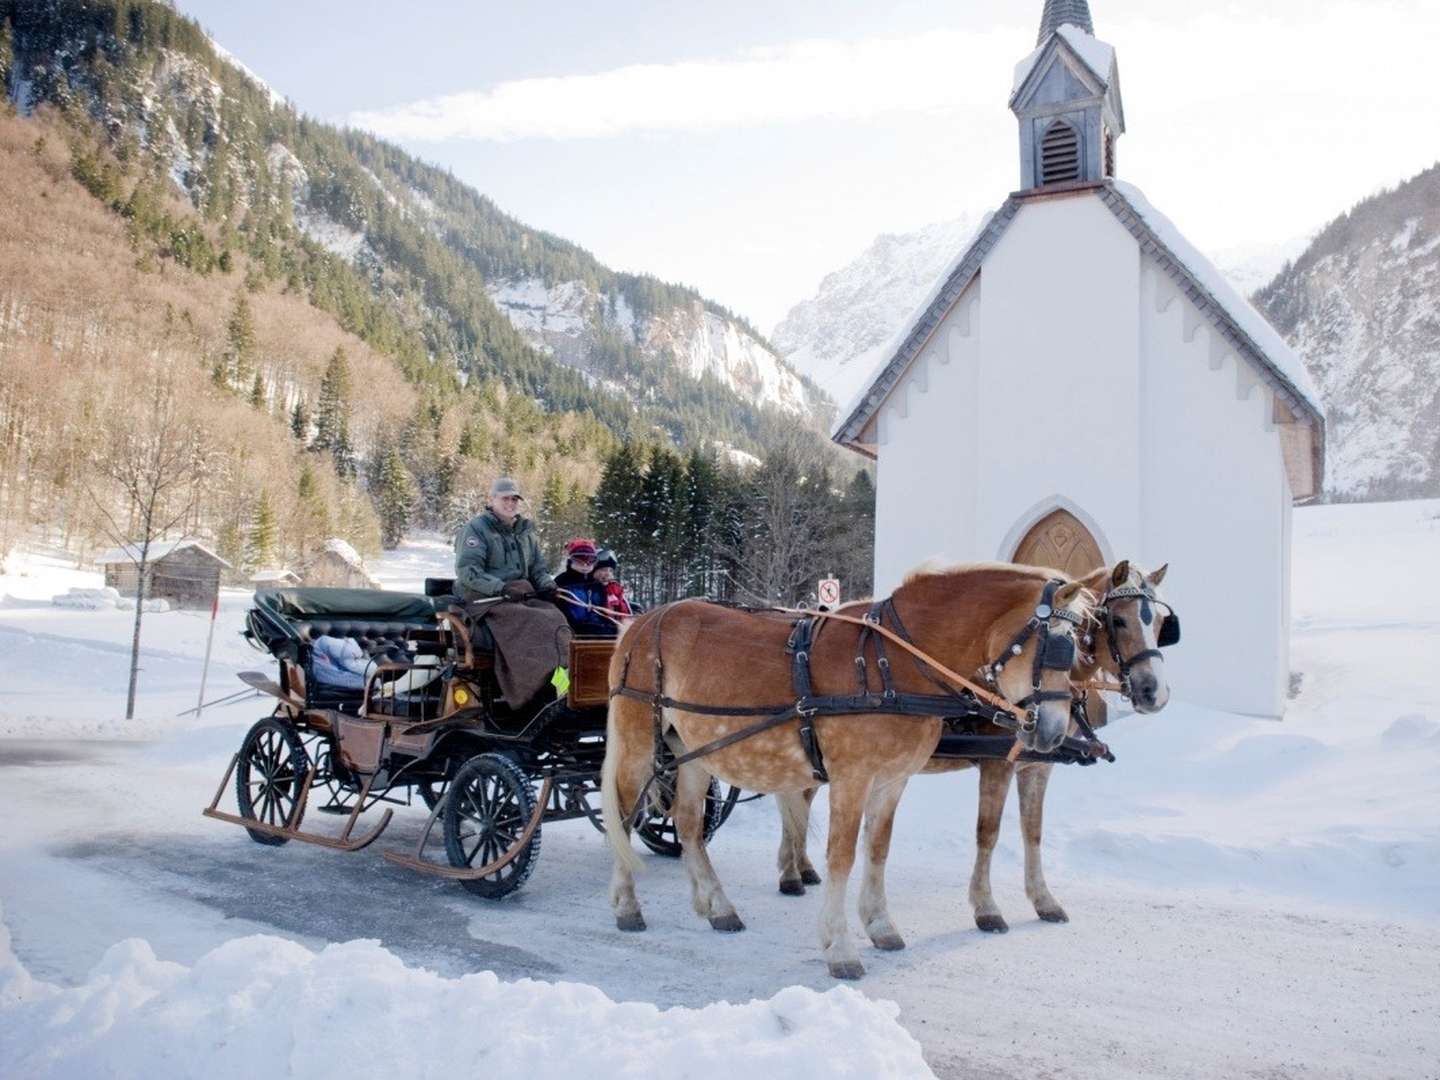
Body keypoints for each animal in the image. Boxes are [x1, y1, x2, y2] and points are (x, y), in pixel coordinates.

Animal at [599, 567, 1088, 979]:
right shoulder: (853, 777)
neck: (891, 664)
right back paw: (626, 906)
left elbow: (878, 849)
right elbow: (842, 856)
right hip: (639, 743)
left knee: (687, 823)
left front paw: (880, 925)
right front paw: (840, 947)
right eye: (1053, 647)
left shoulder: (892, 779)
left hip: (695, 750)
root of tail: (641, 622)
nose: (1053, 731)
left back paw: (717, 906)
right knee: (623, 818)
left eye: (1078, 647)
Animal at [777, 558, 1169, 933]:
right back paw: (792, 873)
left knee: (799, 799)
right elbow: (987, 833)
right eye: (1118, 620)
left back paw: (799, 867)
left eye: (1162, 623)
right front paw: (986, 908)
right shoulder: (999, 764)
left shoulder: (1038, 766)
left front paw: (1043, 900)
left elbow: (1033, 831)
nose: (1155, 692)